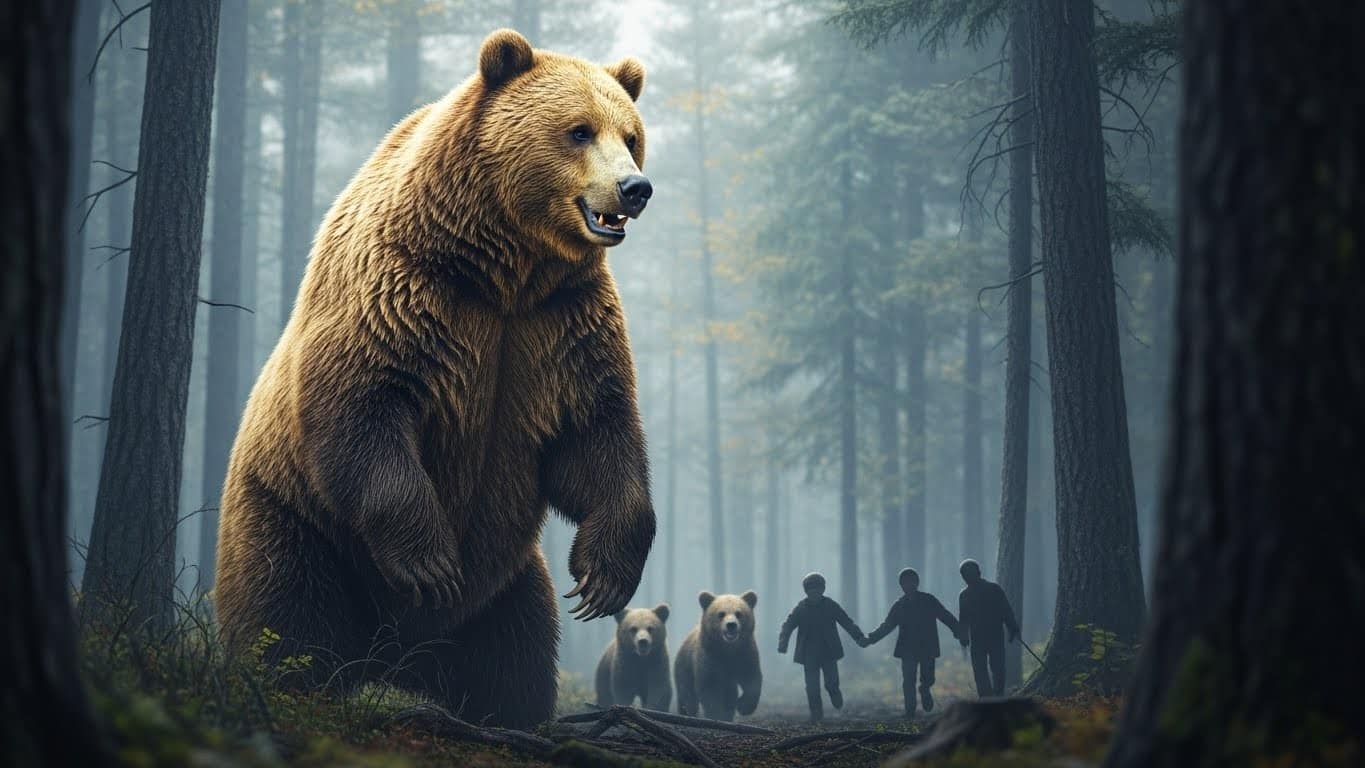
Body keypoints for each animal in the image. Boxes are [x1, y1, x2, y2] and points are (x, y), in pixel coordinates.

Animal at [214, 29, 656, 729]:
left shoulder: (561, 323)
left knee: (516, 654)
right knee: (288, 623)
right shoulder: (405, 293)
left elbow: (596, 431)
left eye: (631, 134)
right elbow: (365, 408)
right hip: (292, 523)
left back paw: (508, 715)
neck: (503, 268)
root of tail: (393, 662)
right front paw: (430, 565)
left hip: (506, 585)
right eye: (579, 130)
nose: (634, 188)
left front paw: (602, 578)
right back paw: (288, 688)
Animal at [674, 591, 762, 722]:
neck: (727, 650)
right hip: (685, 667)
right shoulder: (710, 657)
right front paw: (717, 714)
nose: (731, 625)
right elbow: (710, 689)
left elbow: (751, 679)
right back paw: (688, 712)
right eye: (721, 614)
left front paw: (743, 706)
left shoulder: (745, 653)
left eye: (738, 613)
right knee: (688, 696)